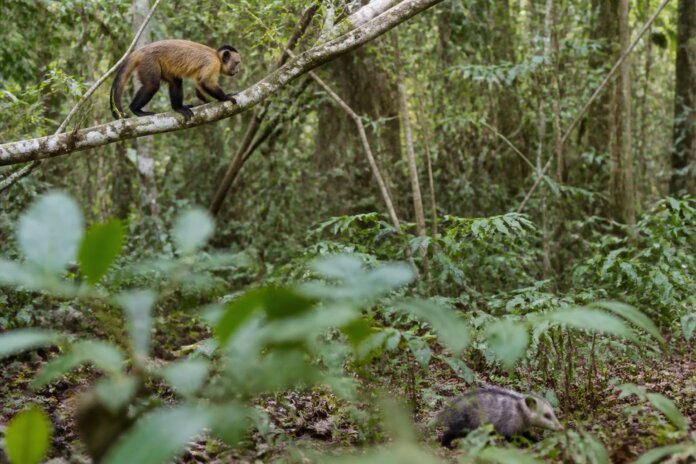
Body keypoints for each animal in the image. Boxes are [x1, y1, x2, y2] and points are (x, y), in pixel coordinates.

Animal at [110, 40, 241, 120]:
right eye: (236, 63)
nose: (238, 71)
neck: (216, 56)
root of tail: (142, 50)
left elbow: (199, 82)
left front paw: (205, 101)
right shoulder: (213, 63)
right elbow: (205, 81)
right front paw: (225, 97)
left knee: (176, 82)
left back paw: (178, 108)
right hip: (148, 61)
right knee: (152, 85)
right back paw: (135, 109)